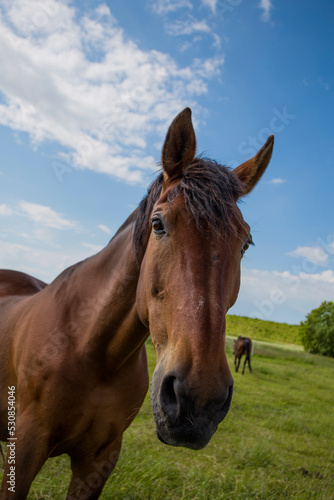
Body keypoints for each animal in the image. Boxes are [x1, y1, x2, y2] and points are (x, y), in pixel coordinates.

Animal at [0, 107, 272, 498]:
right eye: (158, 224)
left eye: (245, 243)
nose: (199, 399)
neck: (91, 348)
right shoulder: (23, 450)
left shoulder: (100, 460)